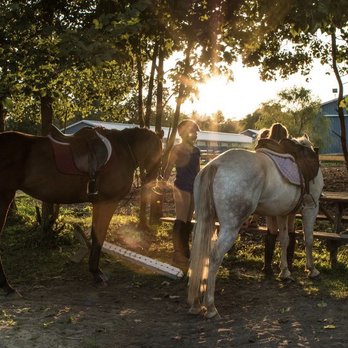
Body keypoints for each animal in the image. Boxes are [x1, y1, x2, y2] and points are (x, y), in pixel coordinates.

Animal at [0, 125, 162, 294]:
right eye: (160, 150)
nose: (154, 181)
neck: (123, 149)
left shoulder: (98, 202)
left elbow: (95, 234)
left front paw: (95, 271)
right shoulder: (107, 202)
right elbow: (99, 235)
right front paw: (97, 274)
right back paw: (7, 286)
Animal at [188, 135, 324, 318]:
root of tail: (215, 165)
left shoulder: (282, 213)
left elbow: (284, 240)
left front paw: (285, 272)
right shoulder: (311, 208)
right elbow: (308, 239)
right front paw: (312, 269)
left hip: (205, 221)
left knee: (199, 253)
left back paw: (196, 303)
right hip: (230, 227)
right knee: (214, 256)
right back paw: (210, 306)